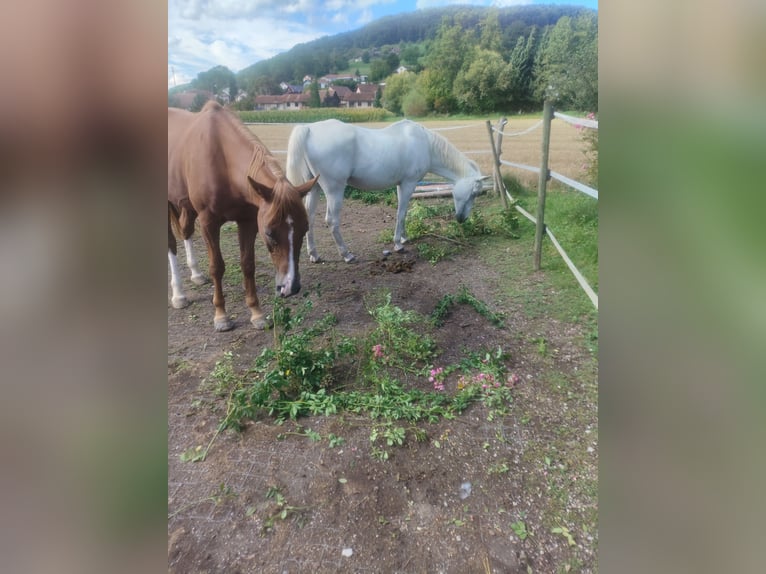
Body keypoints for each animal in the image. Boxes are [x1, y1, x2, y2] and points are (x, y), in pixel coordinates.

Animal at [168, 101, 318, 332]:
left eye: (304, 230)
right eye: (270, 233)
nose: (290, 287)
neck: (221, 159)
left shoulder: (247, 221)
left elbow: (248, 264)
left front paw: (256, 313)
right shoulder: (208, 222)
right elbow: (217, 266)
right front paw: (221, 316)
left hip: (186, 206)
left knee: (186, 231)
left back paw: (196, 275)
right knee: (171, 244)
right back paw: (179, 295)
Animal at [285, 119, 488, 263]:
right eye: (474, 193)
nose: (461, 219)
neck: (425, 144)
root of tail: (309, 129)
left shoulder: (401, 184)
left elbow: (403, 212)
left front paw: (404, 237)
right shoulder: (408, 184)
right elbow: (401, 212)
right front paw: (398, 244)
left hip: (314, 188)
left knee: (310, 218)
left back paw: (314, 255)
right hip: (334, 190)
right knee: (332, 221)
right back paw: (347, 255)